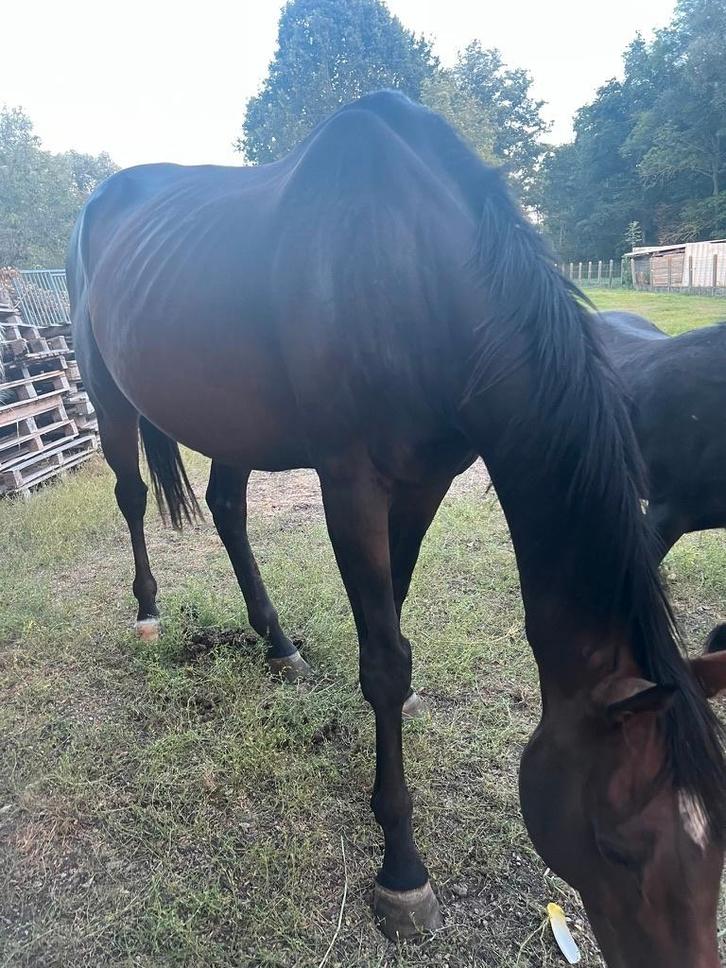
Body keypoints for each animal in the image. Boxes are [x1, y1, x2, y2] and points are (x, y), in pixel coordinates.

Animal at [66, 91, 726, 966]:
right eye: (617, 845)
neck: (416, 272)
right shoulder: (350, 484)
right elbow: (384, 659)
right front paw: (403, 872)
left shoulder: (427, 482)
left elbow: (394, 618)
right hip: (106, 392)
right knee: (133, 495)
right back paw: (147, 610)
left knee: (228, 507)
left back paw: (278, 643)